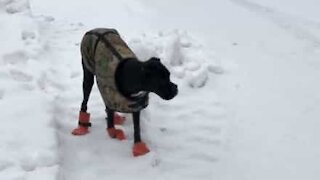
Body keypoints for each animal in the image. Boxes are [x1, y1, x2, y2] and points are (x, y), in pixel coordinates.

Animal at [71, 28, 179, 156]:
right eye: (162, 81)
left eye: (169, 75)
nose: (176, 89)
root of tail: (95, 30)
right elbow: (111, 125)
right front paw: (113, 133)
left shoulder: (136, 103)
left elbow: (137, 127)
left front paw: (138, 146)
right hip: (88, 74)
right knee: (86, 100)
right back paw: (82, 126)